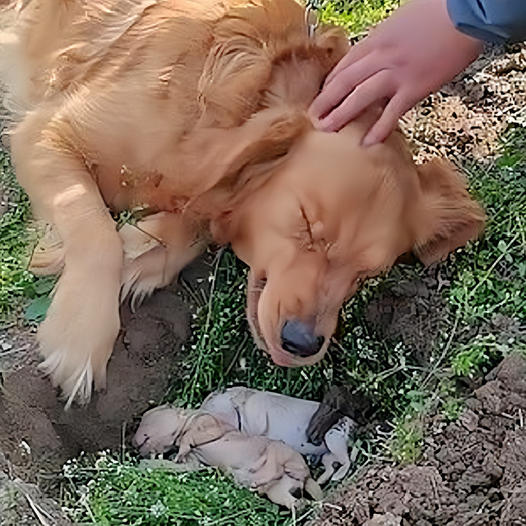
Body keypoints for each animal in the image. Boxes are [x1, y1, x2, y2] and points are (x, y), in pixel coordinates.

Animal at [0, 0, 486, 408]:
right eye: (305, 224)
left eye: (367, 274)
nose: (302, 343)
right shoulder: (45, 130)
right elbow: (96, 231)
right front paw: (79, 336)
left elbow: (190, 219)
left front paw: (142, 249)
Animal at [133, 406, 322, 510]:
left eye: (145, 418)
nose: (132, 442)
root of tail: (306, 475)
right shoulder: (193, 461)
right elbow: (184, 464)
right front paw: (152, 462)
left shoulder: (210, 424)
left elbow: (191, 436)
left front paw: (179, 450)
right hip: (278, 491)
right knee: (295, 501)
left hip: (279, 450)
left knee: (274, 467)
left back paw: (253, 477)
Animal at [200, 388, 356, 486]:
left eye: (210, 403)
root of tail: (353, 423)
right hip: (328, 452)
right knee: (331, 463)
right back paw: (321, 480)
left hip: (333, 437)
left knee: (347, 460)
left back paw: (336, 477)